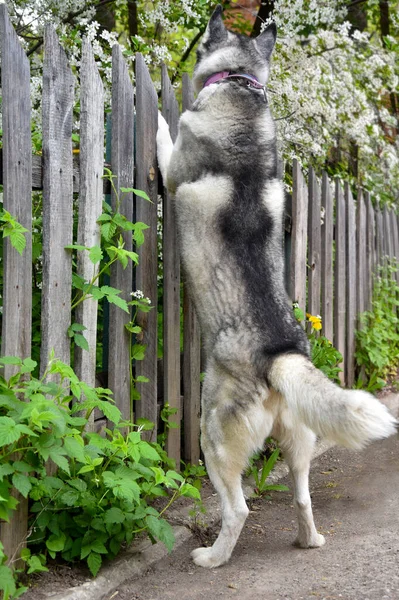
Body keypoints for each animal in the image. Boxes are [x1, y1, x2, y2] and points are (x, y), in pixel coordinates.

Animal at [156, 4, 396, 568]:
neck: (239, 86)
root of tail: (280, 353)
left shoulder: (174, 167)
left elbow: (162, 137)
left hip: (213, 437)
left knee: (238, 509)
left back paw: (212, 558)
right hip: (299, 442)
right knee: (303, 497)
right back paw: (309, 540)